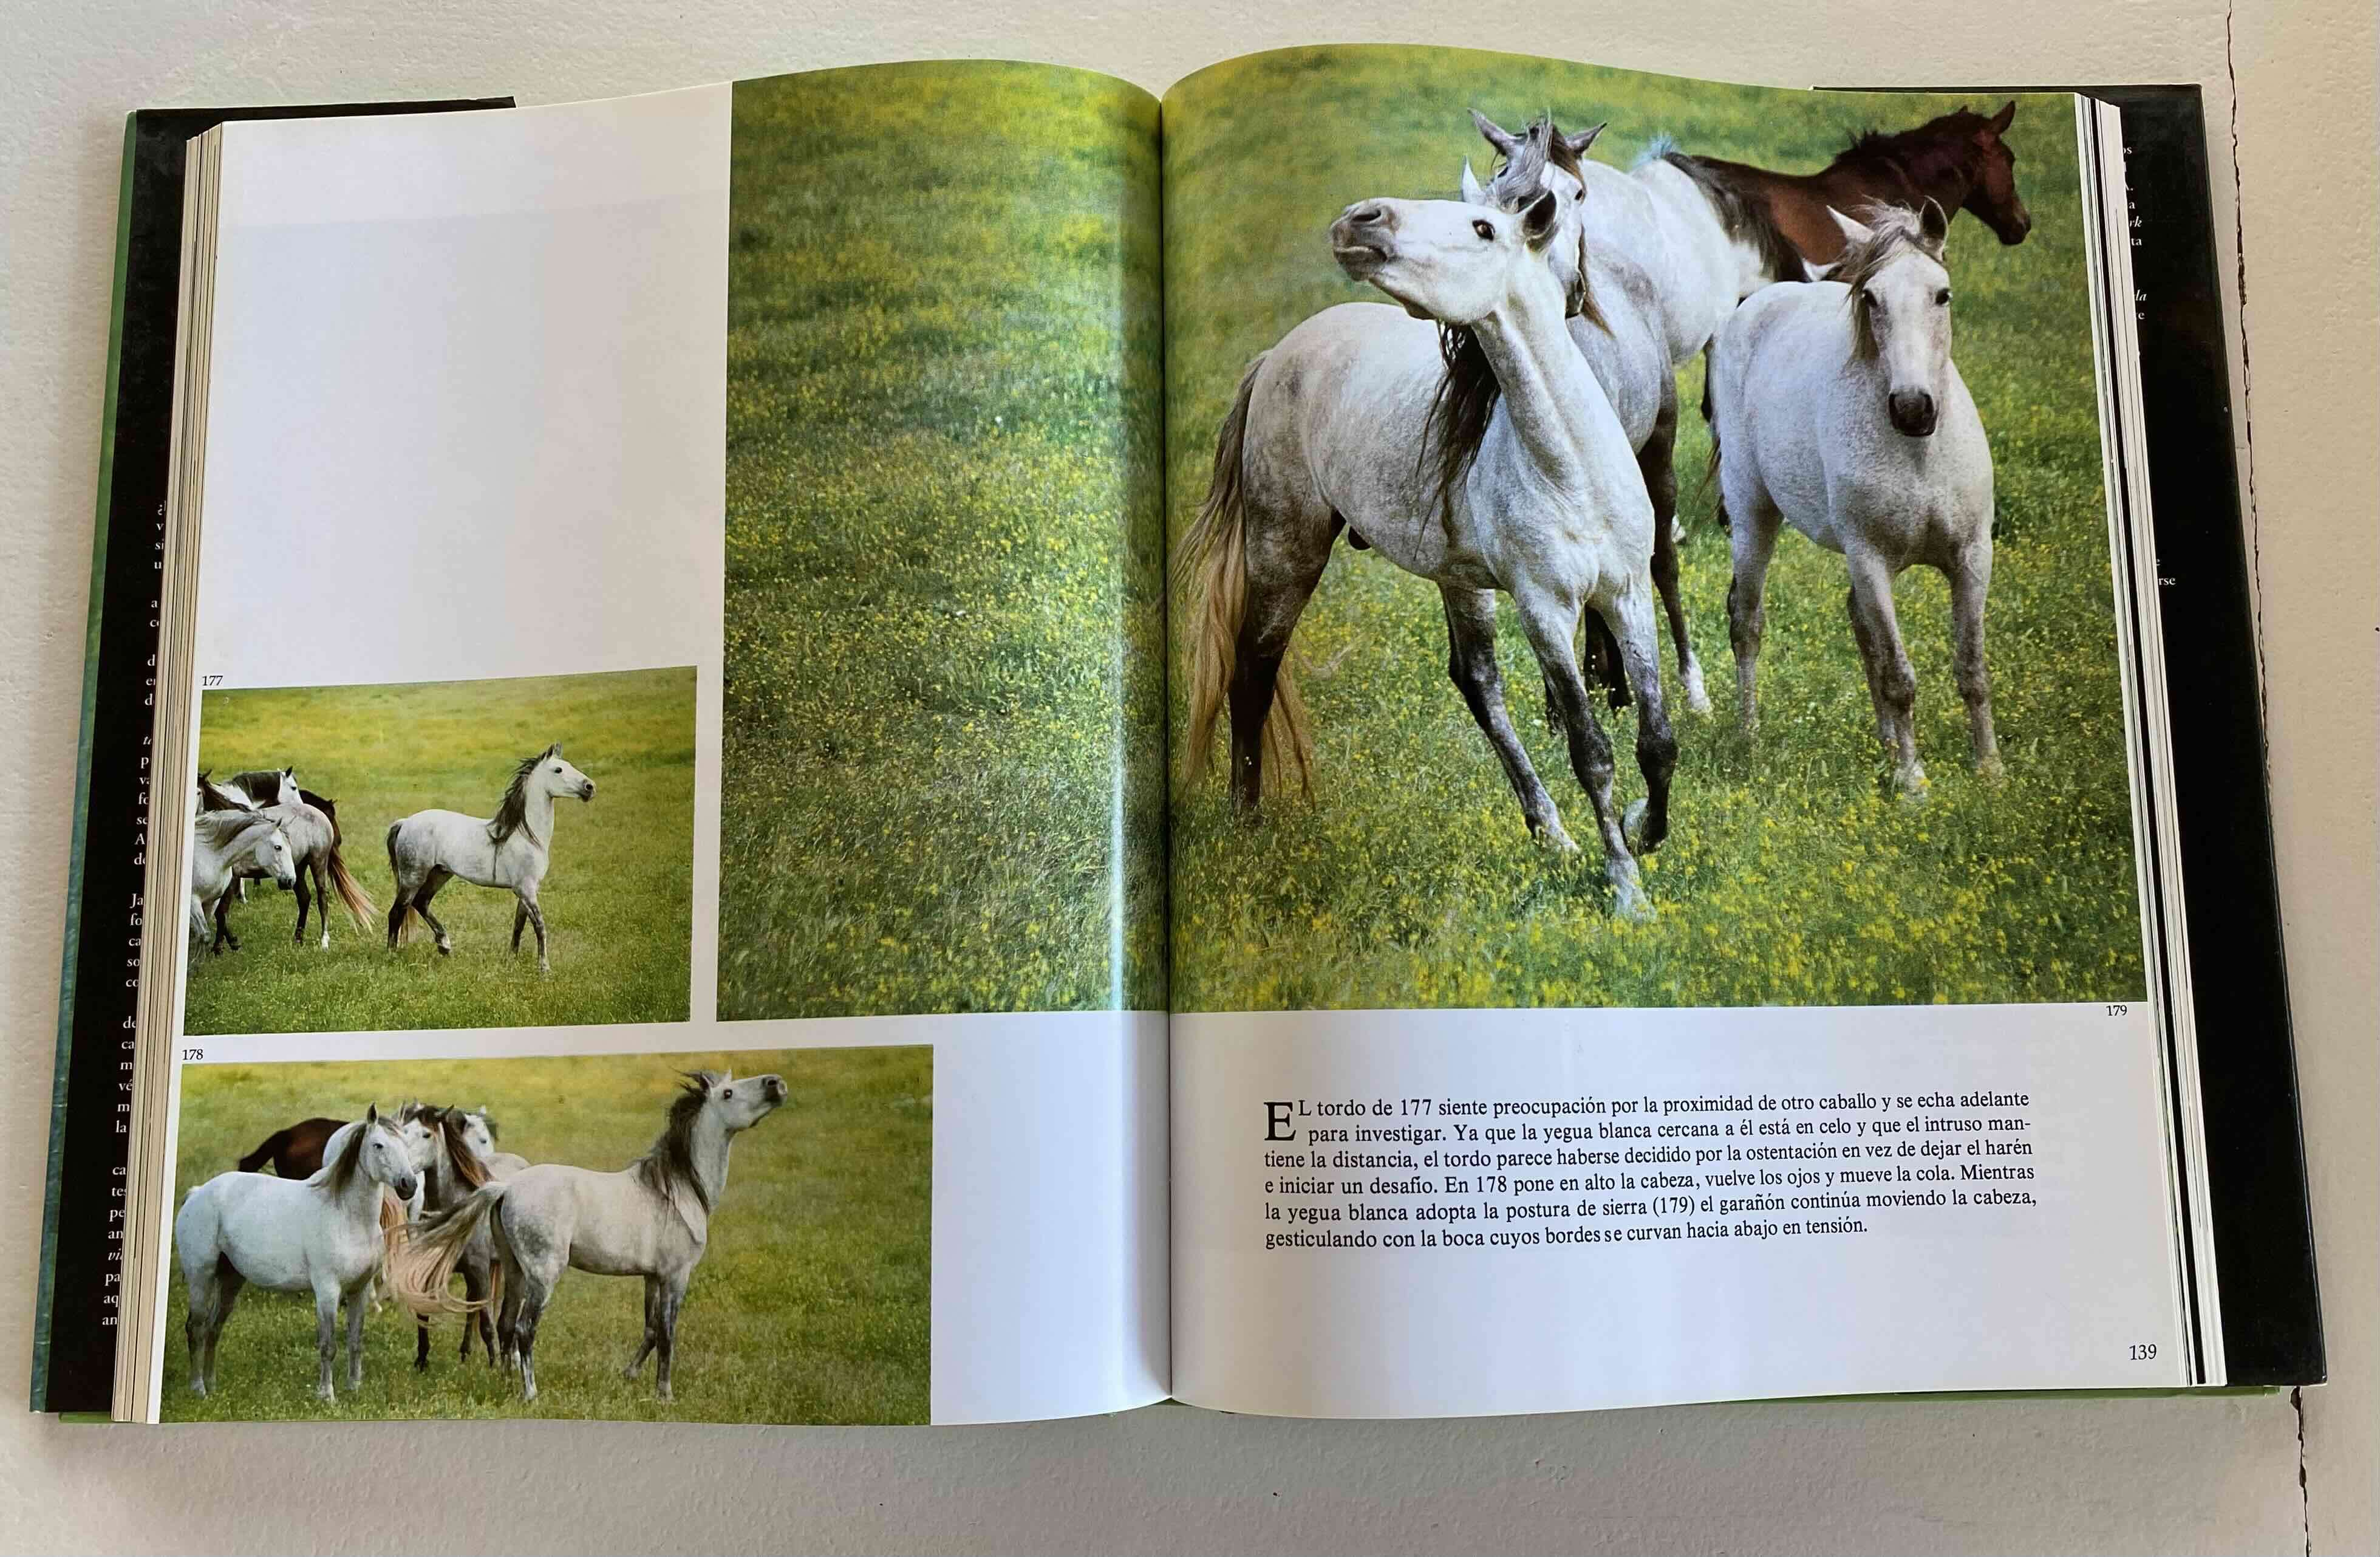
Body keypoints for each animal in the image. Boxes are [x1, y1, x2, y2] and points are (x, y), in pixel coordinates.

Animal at [174, 1108, 422, 1400]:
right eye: (378, 1145)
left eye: (406, 1145)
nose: (409, 1185)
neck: (346, 1216)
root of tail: (197, 1193)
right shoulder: (328, 1291)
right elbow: (328, 1345)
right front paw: (327, 1395)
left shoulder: (359, 1290)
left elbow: (355, 1341)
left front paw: (354, 1388)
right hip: (200, 1277)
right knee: (197, 1328)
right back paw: (198, 1388)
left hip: (231, 1279)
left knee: (214, 1328)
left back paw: (212, 1384)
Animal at [385, 743, 594, 973]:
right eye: (558, 770)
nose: (590, 787)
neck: (526, 836)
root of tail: (405, 822)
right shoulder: (526, 889)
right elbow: (540, 926)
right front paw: (544, 968)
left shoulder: (526, 890)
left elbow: (519, 925)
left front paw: (512, 959)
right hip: (413, 877)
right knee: (397, 911)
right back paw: (392, 955)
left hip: (440, 873)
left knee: (421, 903)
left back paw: (445, 946)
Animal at [391, 1071, 788, 1402]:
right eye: (728, 1093)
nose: (776, 1084)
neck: (674, 1190)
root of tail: (506, 1188)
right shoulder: (676, 1276)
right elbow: (668, 1333)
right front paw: (665, 1394)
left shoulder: (652, 1277)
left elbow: (651, 1329)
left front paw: (630, 1375)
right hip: (543, 1276)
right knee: (523, 1329)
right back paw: (530, 1393)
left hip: (513, 1271)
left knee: (504, 1326)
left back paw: (505, 1383)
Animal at [1178, 120, 1674, 918]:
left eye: (1482, 226)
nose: (1359, 220)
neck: (1572, 466)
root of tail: (1280, 353)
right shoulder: (1545, 611)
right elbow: (1591, 748)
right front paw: (1627, 888)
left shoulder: (1624, 593)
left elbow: (1656, 741)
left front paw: (1641, 829)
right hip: (1287, 550)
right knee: (1253, 668)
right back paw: (1246, 826)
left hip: (1455, 580)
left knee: (1476, 683)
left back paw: (1552, 834)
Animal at [1706, 202, 2001, 797]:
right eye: (1871, 298)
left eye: (1942, 294)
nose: (1912, 407)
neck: (1919, 454)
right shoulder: (1871, 562)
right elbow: (1898, 675)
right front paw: (1912, 782)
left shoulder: (1971, 558)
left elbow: (1970, 667)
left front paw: (1989, 768)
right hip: (1752, 517)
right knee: (1746, 620)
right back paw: (1749, 733)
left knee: (1858, 625)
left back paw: (1884, 745)